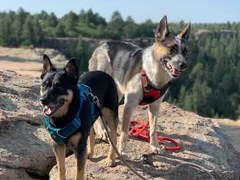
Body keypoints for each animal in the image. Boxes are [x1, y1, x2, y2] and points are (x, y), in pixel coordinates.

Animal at [89, 16, 190, 158]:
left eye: (185, 52)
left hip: (117, 91)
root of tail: (103, 44)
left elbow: (153, 128)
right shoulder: (130, 104)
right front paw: (122, 151)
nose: (184, 65)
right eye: (172, 49)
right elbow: (125, 132)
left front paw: (154, 146)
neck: (154, 73)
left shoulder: (155, 106)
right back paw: (102, 131)